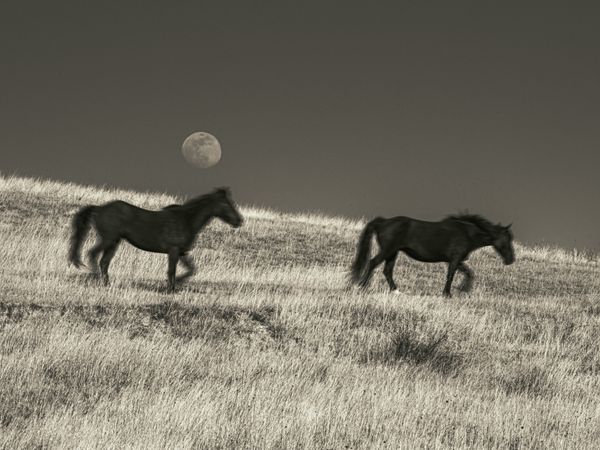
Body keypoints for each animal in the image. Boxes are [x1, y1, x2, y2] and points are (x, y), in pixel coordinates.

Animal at [67, 186, 241, 292]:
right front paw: (169, 289)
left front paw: (174, 285)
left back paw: (107, 284)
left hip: (114, 242)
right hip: (108, 239)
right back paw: (96, 278)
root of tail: (99, 209)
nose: (239, 221)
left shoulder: (182, 252)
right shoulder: (173, 250)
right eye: (226, 204)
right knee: (93, 254)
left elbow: (191, 270)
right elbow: (171, 270)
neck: (186, 220)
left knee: (104, 262)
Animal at [352, 214, 516, 298]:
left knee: (387, 271)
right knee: (373, 263)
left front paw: (463, 289)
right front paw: (448, 294)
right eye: (507, 239)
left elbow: (469, 273)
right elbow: (451, 276)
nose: (511, 260)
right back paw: (363, 285)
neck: (467, 233)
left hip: (393, 253)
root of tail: (383, 221)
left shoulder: (455, 260)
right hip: (388, 250)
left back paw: (396, 290)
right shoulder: (455, 259)